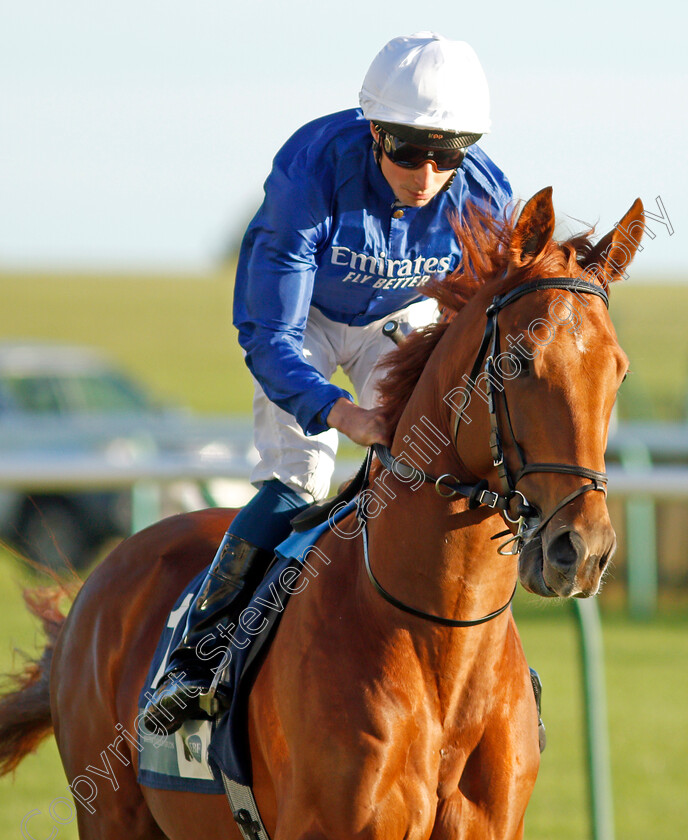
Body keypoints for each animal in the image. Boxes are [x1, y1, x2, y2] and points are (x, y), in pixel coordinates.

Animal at [1, 190, 644, 840]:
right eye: (520, 359)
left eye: (618, 370)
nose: (581, 550)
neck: (441, 641)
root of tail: (104, 576)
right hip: (111, 814)